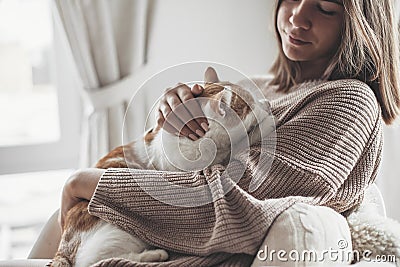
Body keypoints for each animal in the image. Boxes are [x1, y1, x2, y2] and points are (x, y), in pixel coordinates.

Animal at [50, 80, 274, 267]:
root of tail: (62, 248)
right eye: (252, 104)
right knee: (95, 261)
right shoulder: (198, 170)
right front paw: (264, 125)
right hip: (120, 231)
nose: (267, 103)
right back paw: (154, 255)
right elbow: (230, 151)